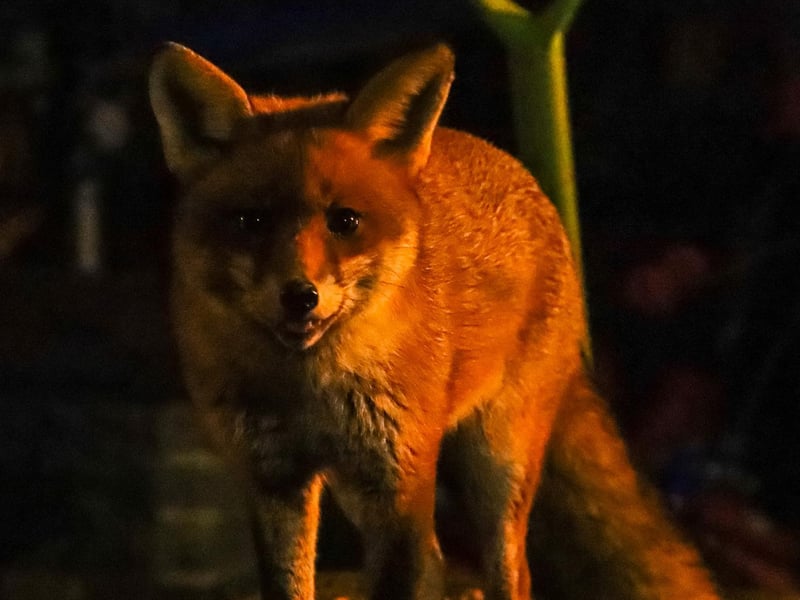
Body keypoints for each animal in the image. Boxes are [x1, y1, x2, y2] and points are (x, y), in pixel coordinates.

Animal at [149, 42, 721, 600]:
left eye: (345, 221)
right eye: (252, 222)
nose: (300, 296)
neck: (306, 386)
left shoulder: (398, 484)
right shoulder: (273, 480)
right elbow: (289, 585)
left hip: (498, 463)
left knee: (512, 574)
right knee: (440, 562)